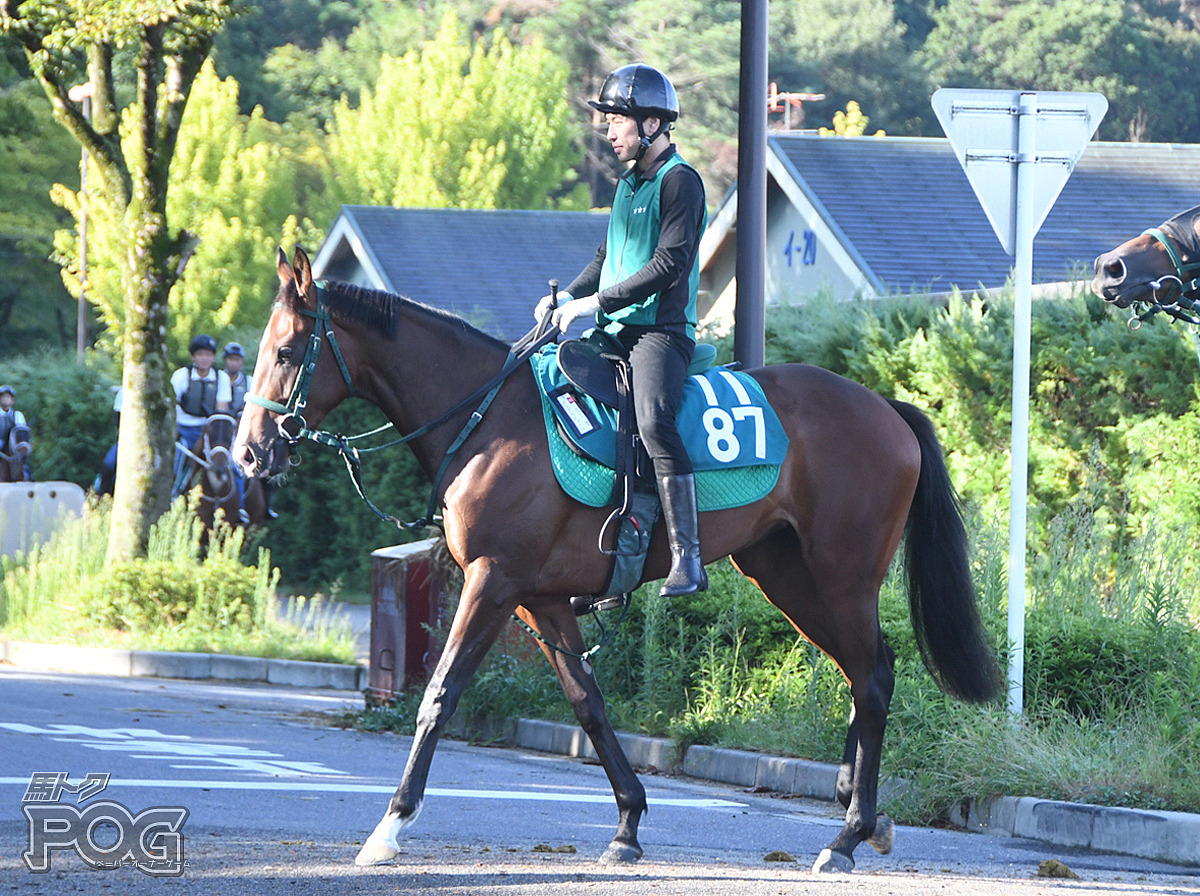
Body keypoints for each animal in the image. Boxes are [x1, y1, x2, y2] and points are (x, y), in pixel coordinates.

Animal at [229, 247, 998, 878]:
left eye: (290, 352)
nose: (249, 453)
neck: (489, 419)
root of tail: (887, 409)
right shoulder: (540, 598)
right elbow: (588, 705)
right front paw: (628, 820)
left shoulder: (491, 583)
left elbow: (440, 695)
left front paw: (391, 825)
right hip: (788, 575)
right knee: (865, 675)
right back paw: (859, 814)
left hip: (841, 576)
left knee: (873, 678)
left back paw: (847, 835)